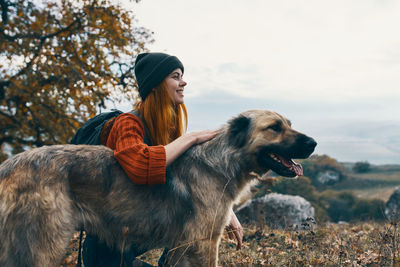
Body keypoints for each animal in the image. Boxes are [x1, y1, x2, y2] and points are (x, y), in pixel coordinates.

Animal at [0, 110, 318, 266]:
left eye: (288, 124)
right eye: (274, 127)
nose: (313, 143)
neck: (224, 159)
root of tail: (11, 163)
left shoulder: (183, 245)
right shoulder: (203, 242)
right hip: (43, 245)